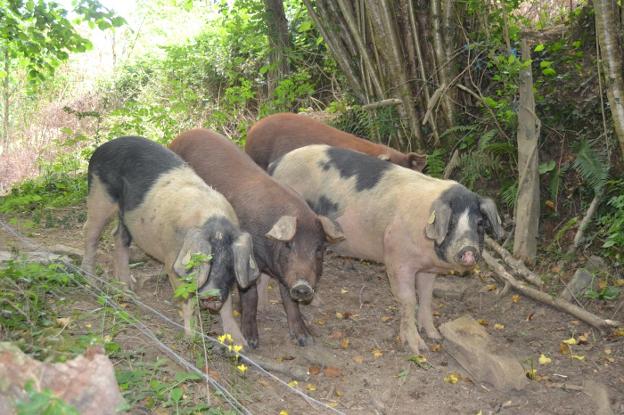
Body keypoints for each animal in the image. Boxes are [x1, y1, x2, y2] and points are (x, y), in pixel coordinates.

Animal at [81, 136, 260, 344]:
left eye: (230, 264)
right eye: (205, 261)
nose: (211, 295)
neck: (213, 223)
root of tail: (102, 147)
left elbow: (227, 306)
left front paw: (241, 344)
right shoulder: (172, 261)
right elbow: (187, 300)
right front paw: (192, 338)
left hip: (124, 214)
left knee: (118, 237)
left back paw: (128, 290)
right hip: (99, 196)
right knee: (90, 233)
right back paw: (92, 283)